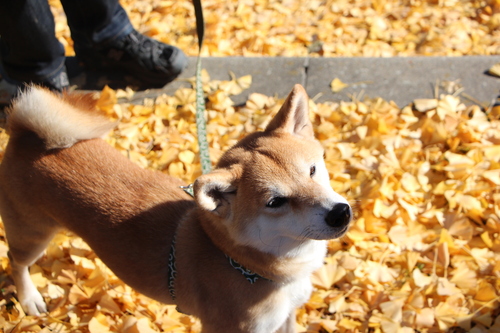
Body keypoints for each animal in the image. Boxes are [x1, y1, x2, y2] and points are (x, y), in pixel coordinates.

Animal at [0, 84, 352, 332]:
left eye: (312, 170)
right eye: (275, 202)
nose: (341, 212)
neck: (241, 262)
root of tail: (26, 136)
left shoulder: (286, 317)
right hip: (32, 235)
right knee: (16, 262)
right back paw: (29, 298)